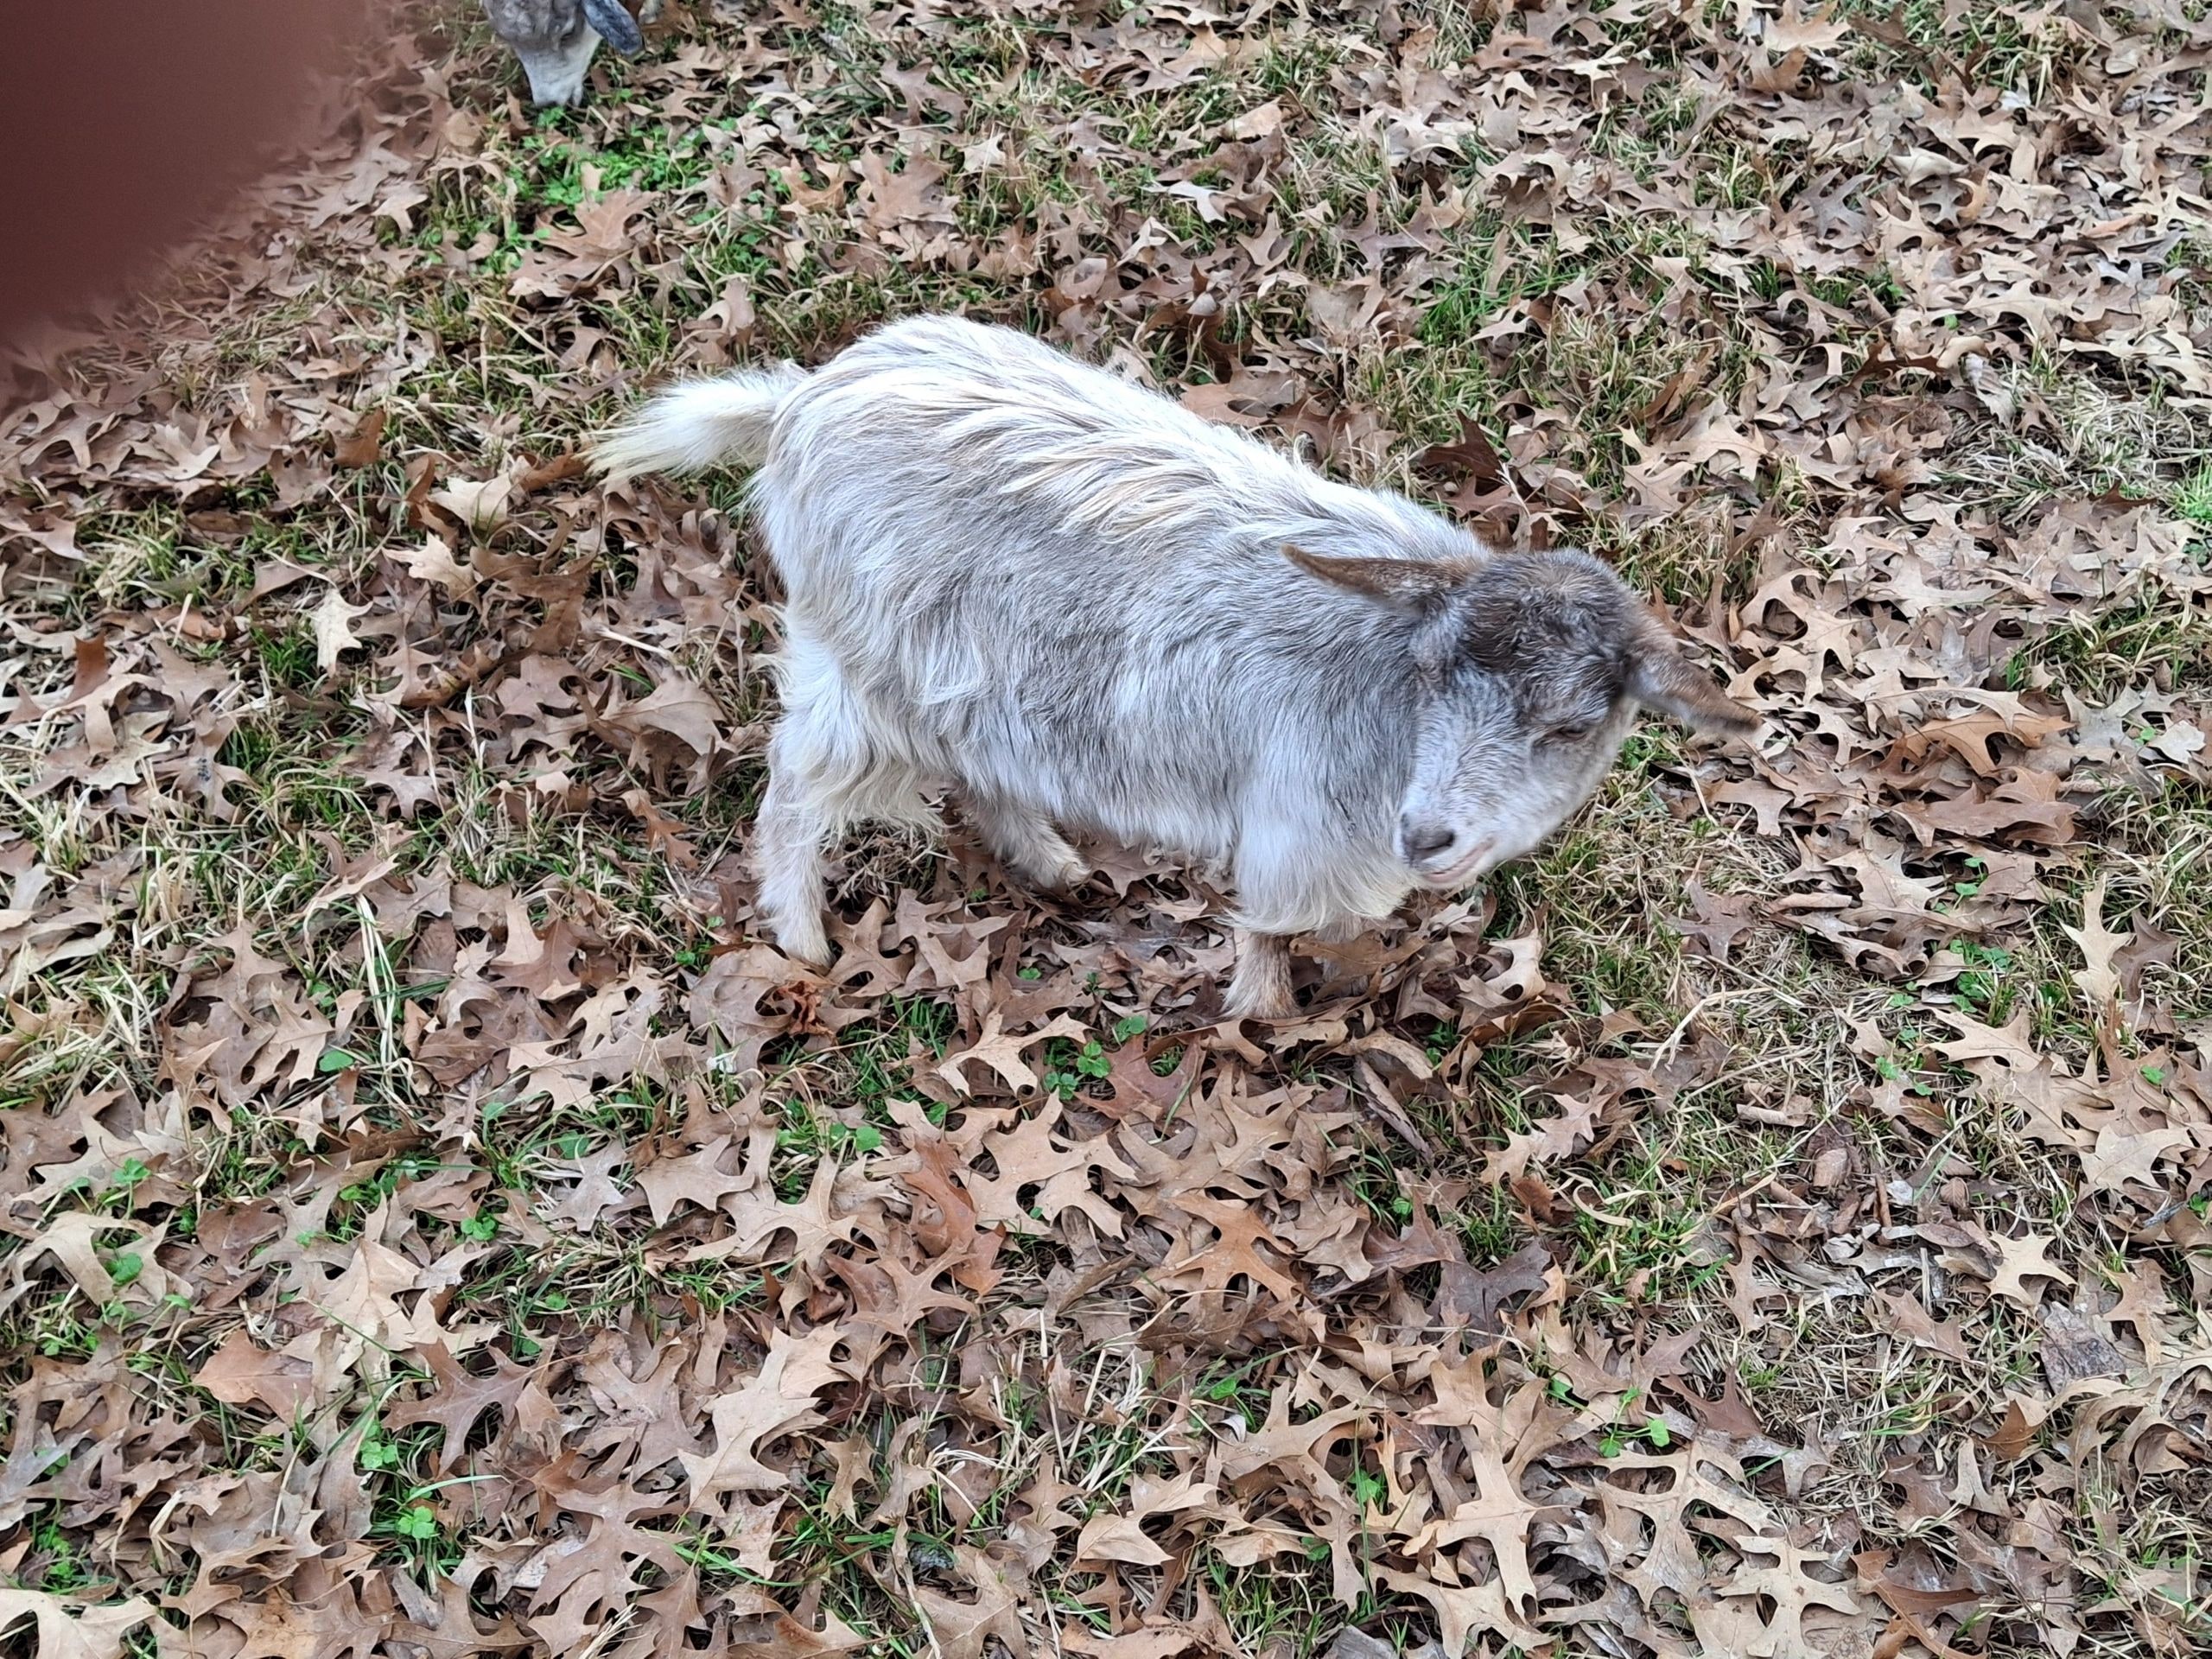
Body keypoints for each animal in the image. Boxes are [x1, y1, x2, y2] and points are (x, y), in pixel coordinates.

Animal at [595, 316, 1757, 1019]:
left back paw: (1050, 864)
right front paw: (1262, 1021)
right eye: (1432, 678)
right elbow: (1267, 937)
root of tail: (801, 400)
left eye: (1569, 725)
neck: (1382, 706)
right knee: (797, 789)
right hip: (859, 662)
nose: (1429, 834)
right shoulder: (1291, 830)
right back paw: (800, 937)